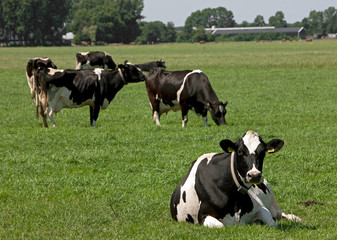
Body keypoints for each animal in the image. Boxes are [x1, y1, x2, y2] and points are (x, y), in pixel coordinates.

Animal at [169, 130, 300, 228]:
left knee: (279, 213)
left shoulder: (261, 207)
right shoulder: (203, 215)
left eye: (263, 152)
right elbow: (220, 226)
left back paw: (295, 218)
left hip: (271, 195)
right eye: (240, 151)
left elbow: (273, 223)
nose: (254, 175)